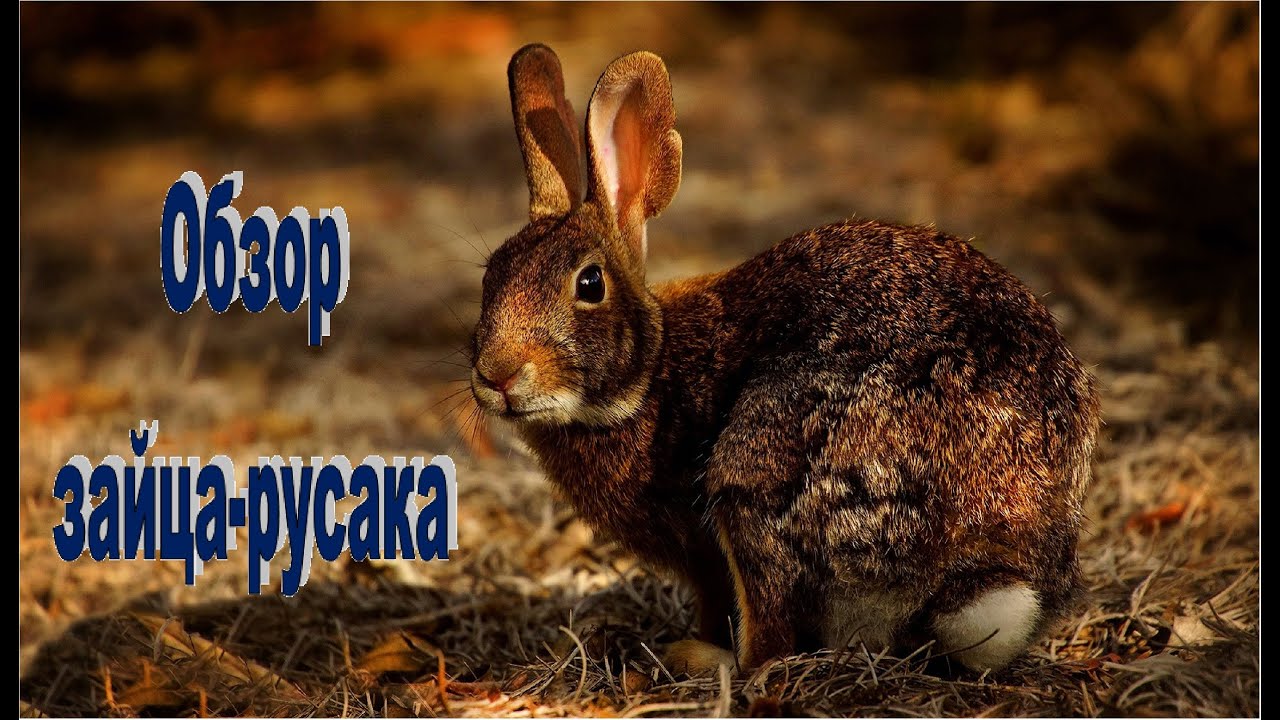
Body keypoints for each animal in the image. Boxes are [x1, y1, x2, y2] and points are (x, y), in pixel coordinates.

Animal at [469, 43, 1100, 675]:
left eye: (590, 283)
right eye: (490, 276)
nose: (497, 375)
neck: (648, 375)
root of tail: (987, 551)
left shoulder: (707, 555)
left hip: (757, 471)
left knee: (769, 644)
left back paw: (698, 658)